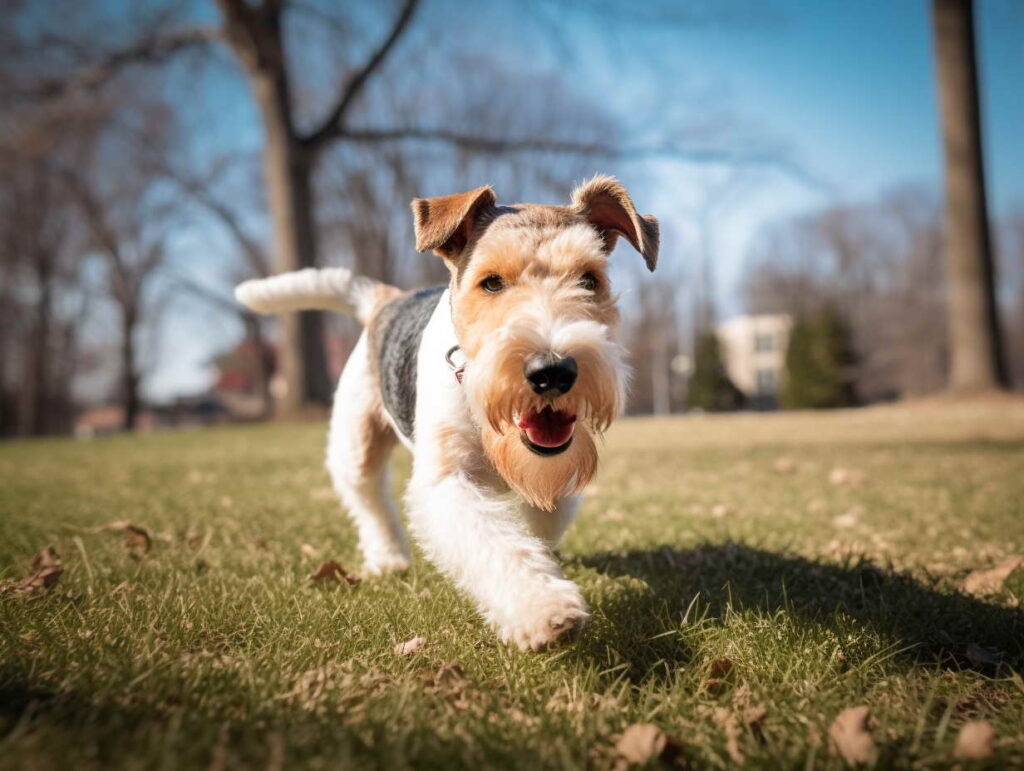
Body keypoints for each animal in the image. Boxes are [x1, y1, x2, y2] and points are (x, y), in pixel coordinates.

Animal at [235, 176, 659, 651]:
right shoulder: (448, 478)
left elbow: (539, 524)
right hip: (355, 442)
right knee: (369, 500)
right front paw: (544, 609)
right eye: (491, 283)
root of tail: (387, 299)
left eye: (589, 279)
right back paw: (389, 559)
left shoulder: (557, 477)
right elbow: (496, 543)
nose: (552, 371)